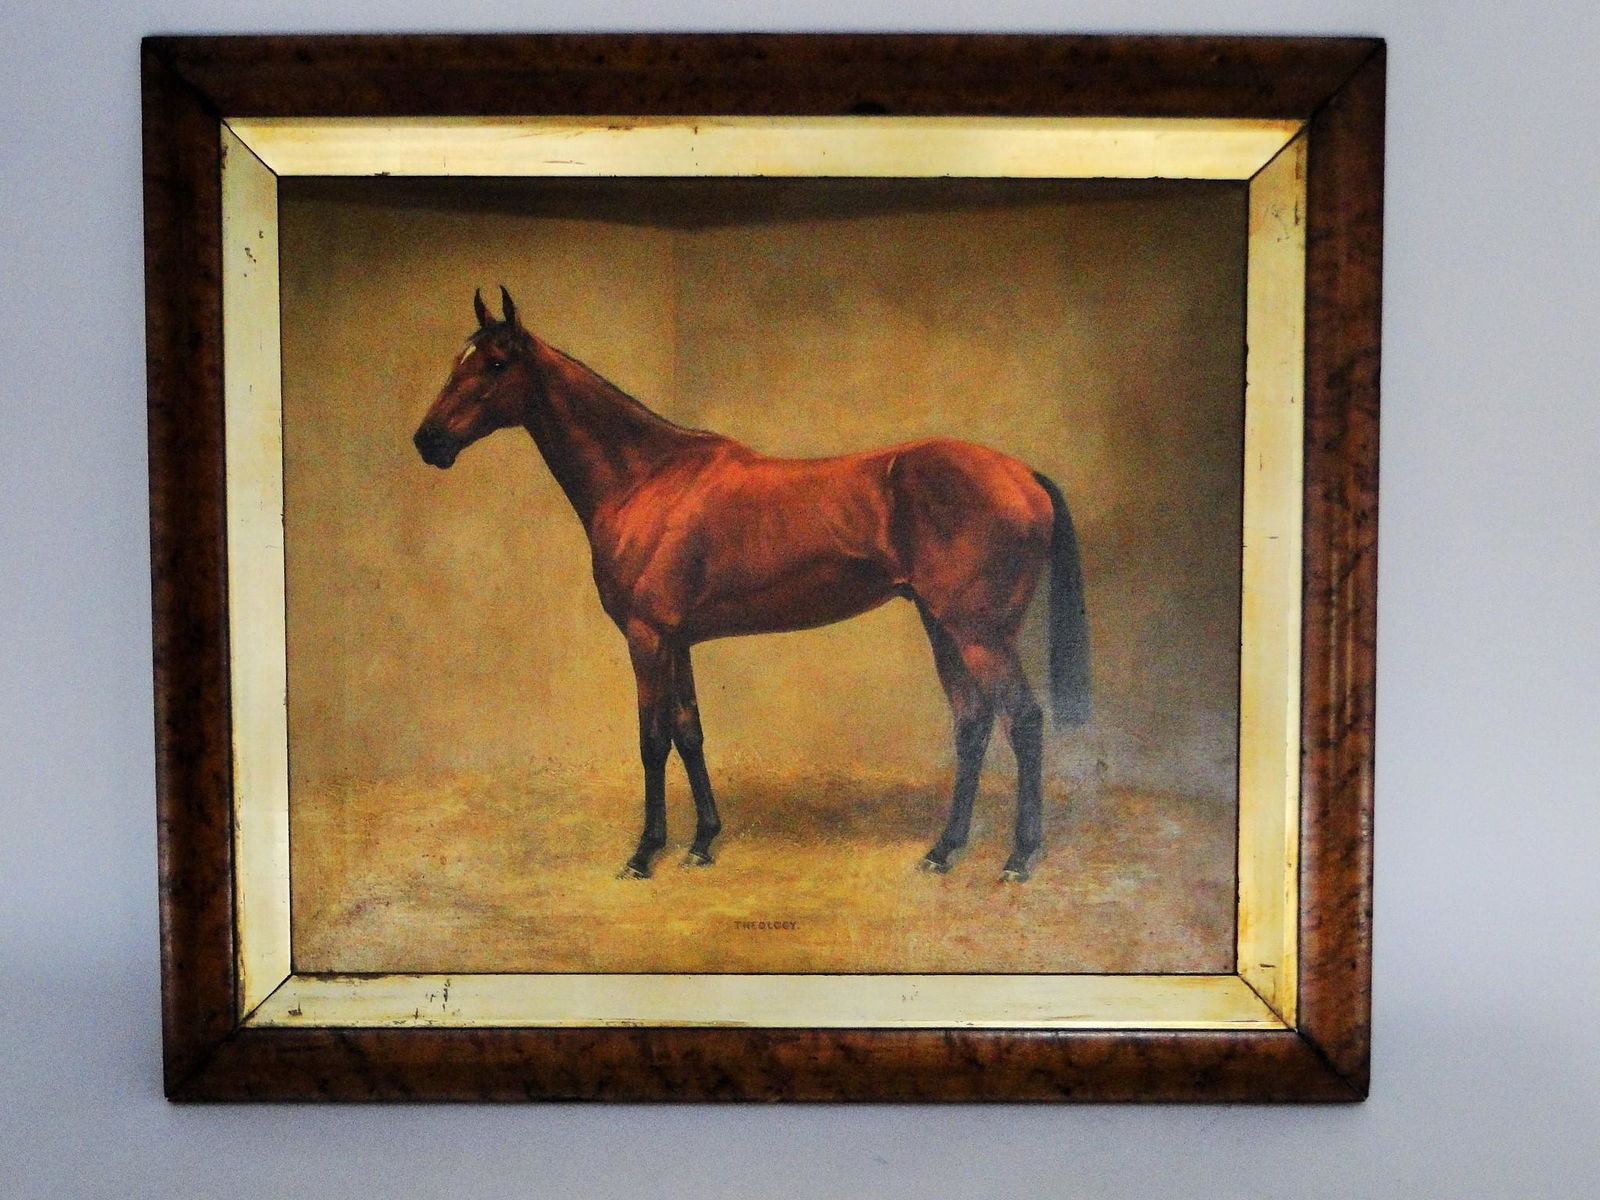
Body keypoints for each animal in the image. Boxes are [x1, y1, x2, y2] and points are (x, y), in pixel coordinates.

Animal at [413, 287, 1090, 883]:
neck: (646, 477)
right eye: (456, 361)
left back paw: (1018, 858)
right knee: (972, 722)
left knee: (1023, 721)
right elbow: (688, 731)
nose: (428, 440)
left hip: (979, 632)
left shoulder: (646, 638)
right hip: (942, 624)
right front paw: (702, 843)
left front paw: (644, 853)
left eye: (495, 363)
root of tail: (1023, 474)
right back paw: (943, 851)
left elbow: (652, 739)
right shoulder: (676, 640)